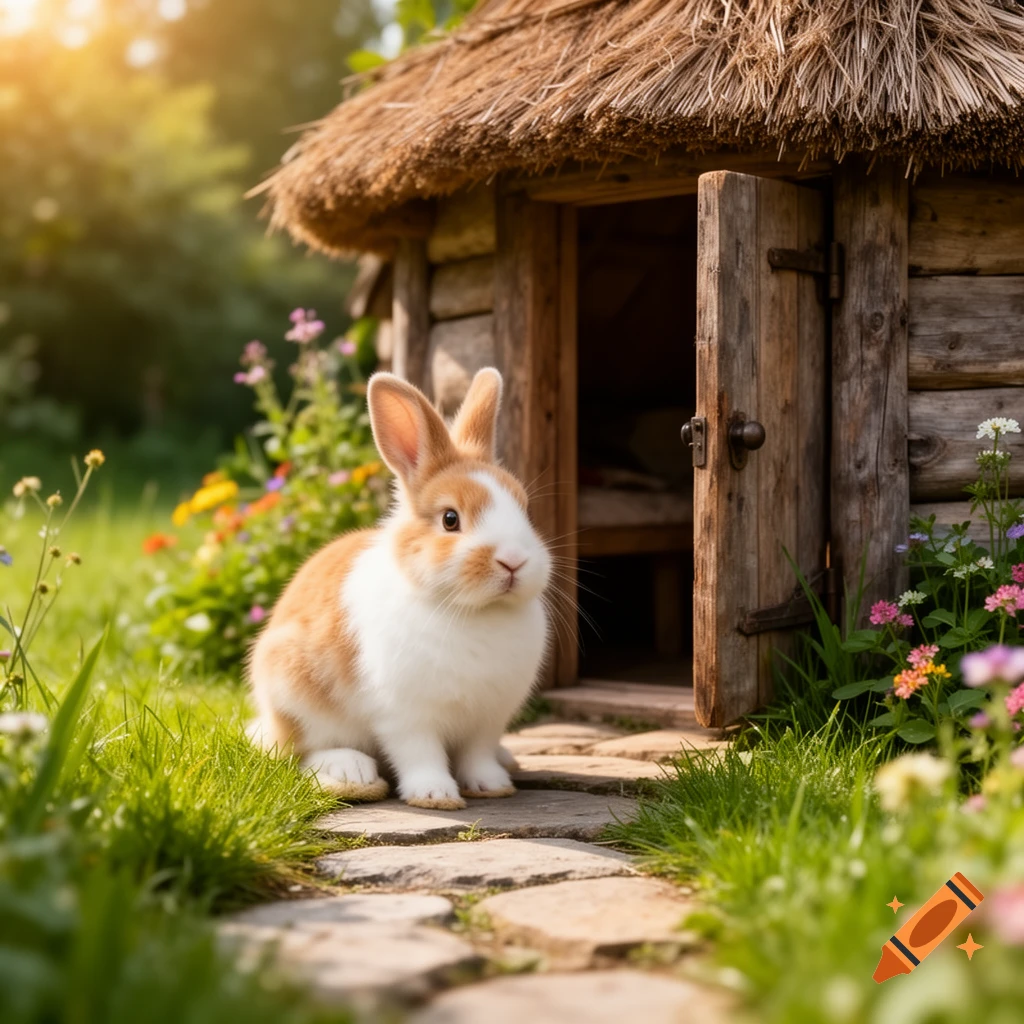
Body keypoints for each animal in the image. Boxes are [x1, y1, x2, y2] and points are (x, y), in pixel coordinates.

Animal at [247, 367, 552, 809]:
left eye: (525, 509)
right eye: (450, 519)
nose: (513, 560)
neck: (476, 611)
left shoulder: (488, 717)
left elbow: (477, 754)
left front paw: (492, 785)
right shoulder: (405, 714)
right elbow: (419, 753)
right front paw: (435, 795)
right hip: (293, 691)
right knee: (301, 751)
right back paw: (351, 770)